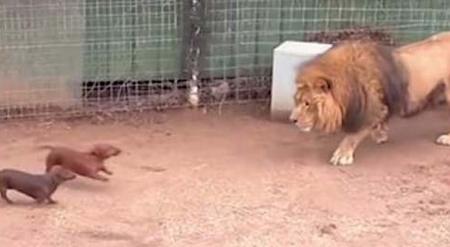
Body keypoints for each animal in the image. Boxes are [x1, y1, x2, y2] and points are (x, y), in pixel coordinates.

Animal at [290, 31, 450, 165]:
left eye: (307, 103)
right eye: (297, 100)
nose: (292, 120)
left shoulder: (372, 107)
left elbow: (353, 135)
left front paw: (342, 155)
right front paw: (380, 134)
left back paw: (446, 138)